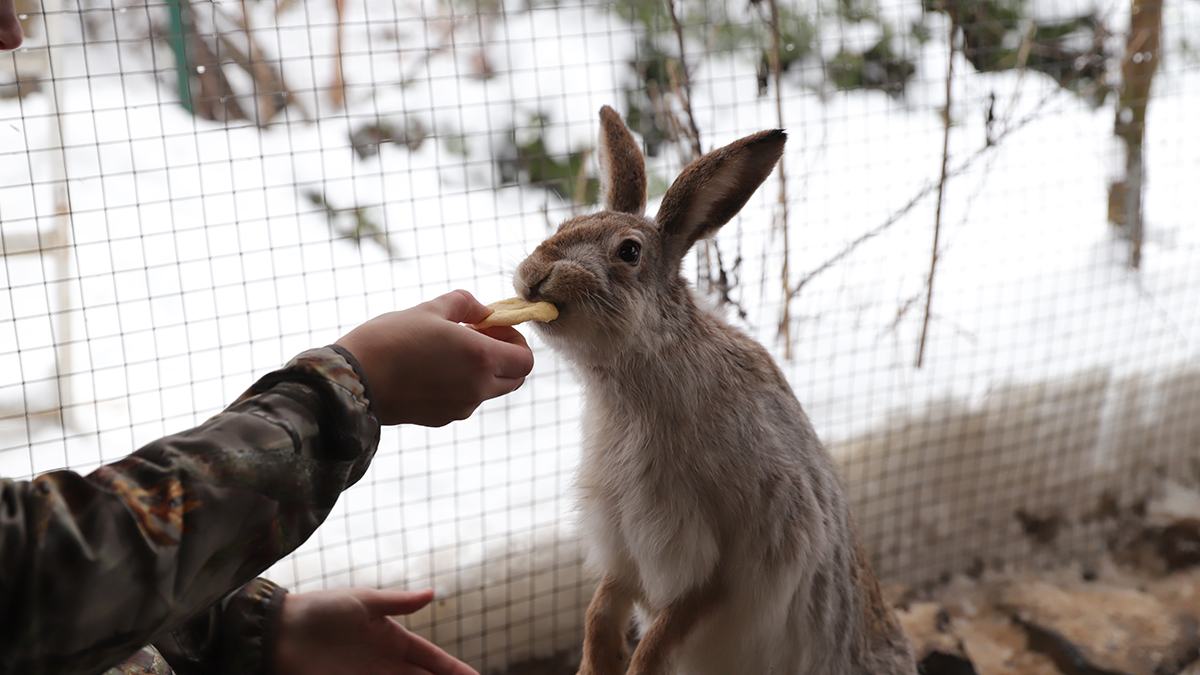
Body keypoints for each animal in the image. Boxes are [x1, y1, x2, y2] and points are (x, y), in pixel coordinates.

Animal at [511, 106, 912, 672]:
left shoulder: (720, 560)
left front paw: (636, 667)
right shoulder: (622, 551)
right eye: (565, 226)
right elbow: (600, 608)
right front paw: (594, 663)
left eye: (629, 252)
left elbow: (666, 630)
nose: (535, 277)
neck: (632, 381)